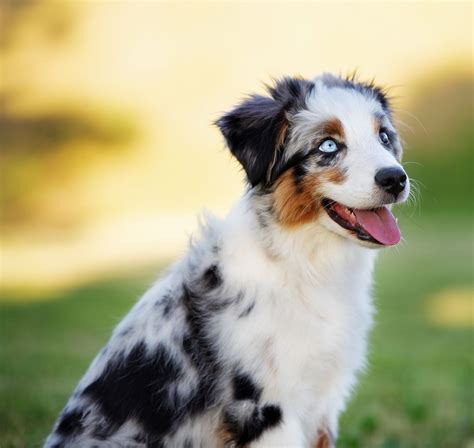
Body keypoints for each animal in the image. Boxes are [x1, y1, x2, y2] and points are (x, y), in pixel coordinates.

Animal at [46, 74, 412, 448]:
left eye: (384, 137)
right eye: (327, 146)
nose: (395, 178)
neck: (303, 264)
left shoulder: (323, 401)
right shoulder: (264, 407)